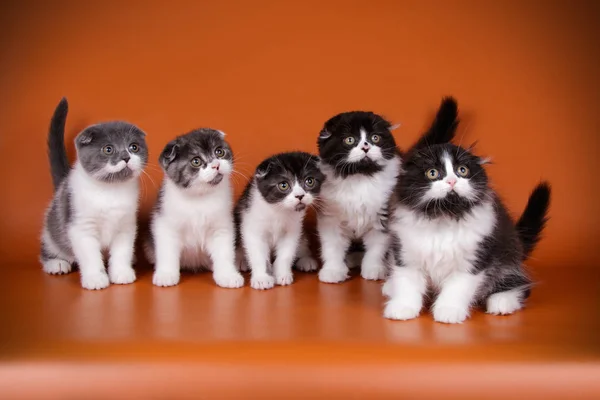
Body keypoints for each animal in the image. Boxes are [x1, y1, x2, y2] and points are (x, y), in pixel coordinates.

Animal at [40, 97, 148, 290]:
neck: (110, 191)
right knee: (51, 242)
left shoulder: (125, 226)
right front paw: (95, 278)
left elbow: (122, 252)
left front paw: (121, 272)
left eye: (133, 147)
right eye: (108, 149)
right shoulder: (81, 227)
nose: (126, 157)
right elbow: (90, 256)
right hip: (53, 226)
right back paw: (56, 263)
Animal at [145, 130, 244, 290]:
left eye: (219, 152)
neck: (199, 198)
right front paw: (166, 274)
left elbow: (224, 251)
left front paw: (228, 275)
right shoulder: (165, 223)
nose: (216, 164)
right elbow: (167, 251)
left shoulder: (222, 227)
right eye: (196, 161)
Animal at [234, 152, 326, 290]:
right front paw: (262, 278)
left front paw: (282, 275)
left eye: (309, 181)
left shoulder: (293, 228)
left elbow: (286, 253)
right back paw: (241, 260)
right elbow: (257, 253)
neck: (278, 210)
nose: (300, 196)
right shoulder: (252, 225)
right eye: (283, 185)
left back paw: (306, 260)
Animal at [316, 101, 458, 286]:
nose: (365, 147)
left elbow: (376, 248)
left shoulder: (384, 215)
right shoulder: (330, 218)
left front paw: (374, 269)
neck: (360, 178)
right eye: (350, 140)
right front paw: (333, 271)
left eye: (375, 138)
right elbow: (332, 247)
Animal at [382, 142, 552, 324]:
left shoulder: (472, 259)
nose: (452, 181)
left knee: (517, 282)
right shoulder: (406, 254)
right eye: (432, 173)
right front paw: (402, 307)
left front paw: (449, 310)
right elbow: (407, 283)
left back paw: (503, 301)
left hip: (508, 254)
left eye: (462, 170)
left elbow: (457, 288)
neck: (444, 216)